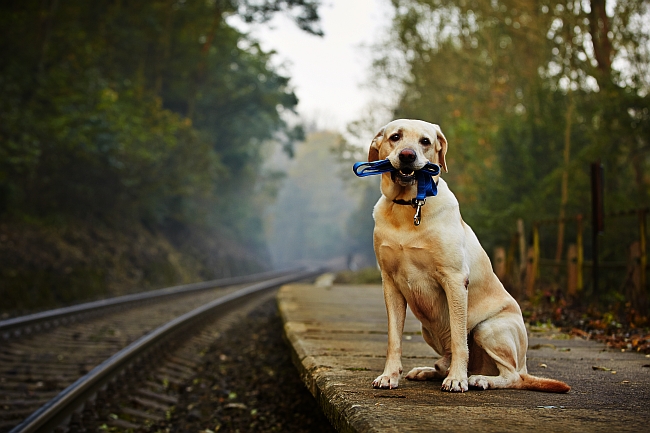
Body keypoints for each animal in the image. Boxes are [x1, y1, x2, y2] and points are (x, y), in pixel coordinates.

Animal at [370, 118, 568, 392]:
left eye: (425, 141)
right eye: (395, 137)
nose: (407, 156)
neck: (409, 206)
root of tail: (526, 366)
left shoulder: (454, 280)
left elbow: (458, 338)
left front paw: (456, 379)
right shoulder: (390, 283)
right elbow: (394, 338)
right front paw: (389, 375)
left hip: (488, 328)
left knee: (511, 376)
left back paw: (479, 379)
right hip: (428, 330)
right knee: (446, 361)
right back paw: (429, 370)